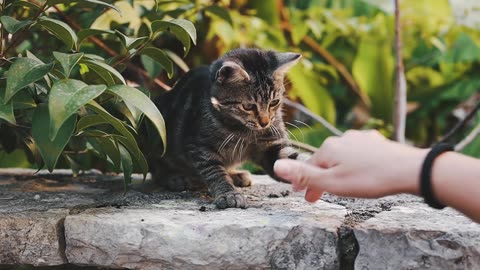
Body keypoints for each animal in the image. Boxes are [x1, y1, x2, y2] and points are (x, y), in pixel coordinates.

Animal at [148, 48, 310, 209]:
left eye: (274, 102)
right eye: (248, 106)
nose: (265, 123)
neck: (245, 131)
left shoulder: (272, 145)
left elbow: (293, 159)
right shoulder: (199, 146)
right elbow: (215, 172)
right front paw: (229, 194)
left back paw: (236, 175)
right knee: (157, 168)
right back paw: (176, 178)